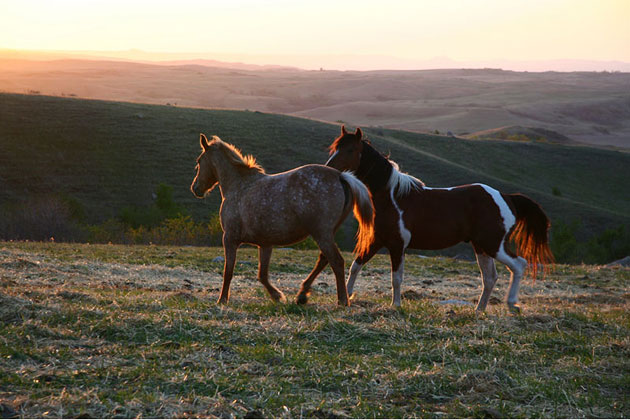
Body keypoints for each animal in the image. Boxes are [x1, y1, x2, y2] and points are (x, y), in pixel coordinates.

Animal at [189, 134, 376, 306]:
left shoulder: (229, 238)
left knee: (336, 261)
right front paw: (277, 296)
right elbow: (262, 275)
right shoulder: (265, 244)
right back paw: (302, 295)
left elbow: (228, 271)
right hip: (327, 234)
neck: (239, 186)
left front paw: (222, 300)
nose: (195, 188)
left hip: (321, 234)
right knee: (324, 260)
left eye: (199, 161)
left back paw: (342, 300)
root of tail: (340, 176)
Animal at [328, 126, 556, 314]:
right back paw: (479, 310)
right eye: (335, 148)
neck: (392, 197)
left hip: (494, 245)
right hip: (481, 246)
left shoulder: (397, 245)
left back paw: (512, 304)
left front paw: (396, 305)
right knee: (490, 278)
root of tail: (505, 197)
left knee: (518, 265)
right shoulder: (377, 241)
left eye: (350, 150)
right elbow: (355, 266)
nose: (329, 168)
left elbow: (396, 278)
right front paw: (347, 297)